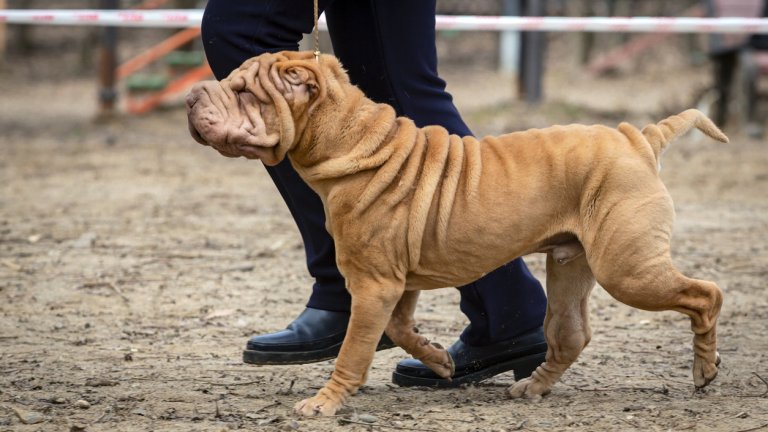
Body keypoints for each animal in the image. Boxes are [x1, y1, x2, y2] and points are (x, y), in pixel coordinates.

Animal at [186, 51, 728, 418]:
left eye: (242, 91)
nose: (191, 96)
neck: (351, 141)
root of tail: (638, 138)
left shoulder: (374, 285)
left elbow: (354, 350)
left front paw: (324, 402)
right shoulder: (394, 283)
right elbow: (399, 329)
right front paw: (440, 361)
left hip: (627, 269)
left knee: (706, 295)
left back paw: (705, 371)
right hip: (570, 266)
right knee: (571, 335)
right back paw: (532, 387)